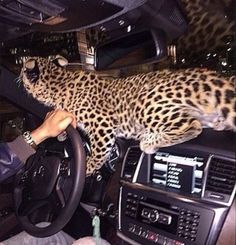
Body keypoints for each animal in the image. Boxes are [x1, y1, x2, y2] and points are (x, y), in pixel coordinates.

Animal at [19, 55, 236, 174]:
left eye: (22, 69)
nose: (19, 75)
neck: (59, 83)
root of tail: (210, 76)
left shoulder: (103, 125)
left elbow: (99, 152)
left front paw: (86, 168)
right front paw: (62, 134)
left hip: (146, 103)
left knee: (191, 125)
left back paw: (148, 141)